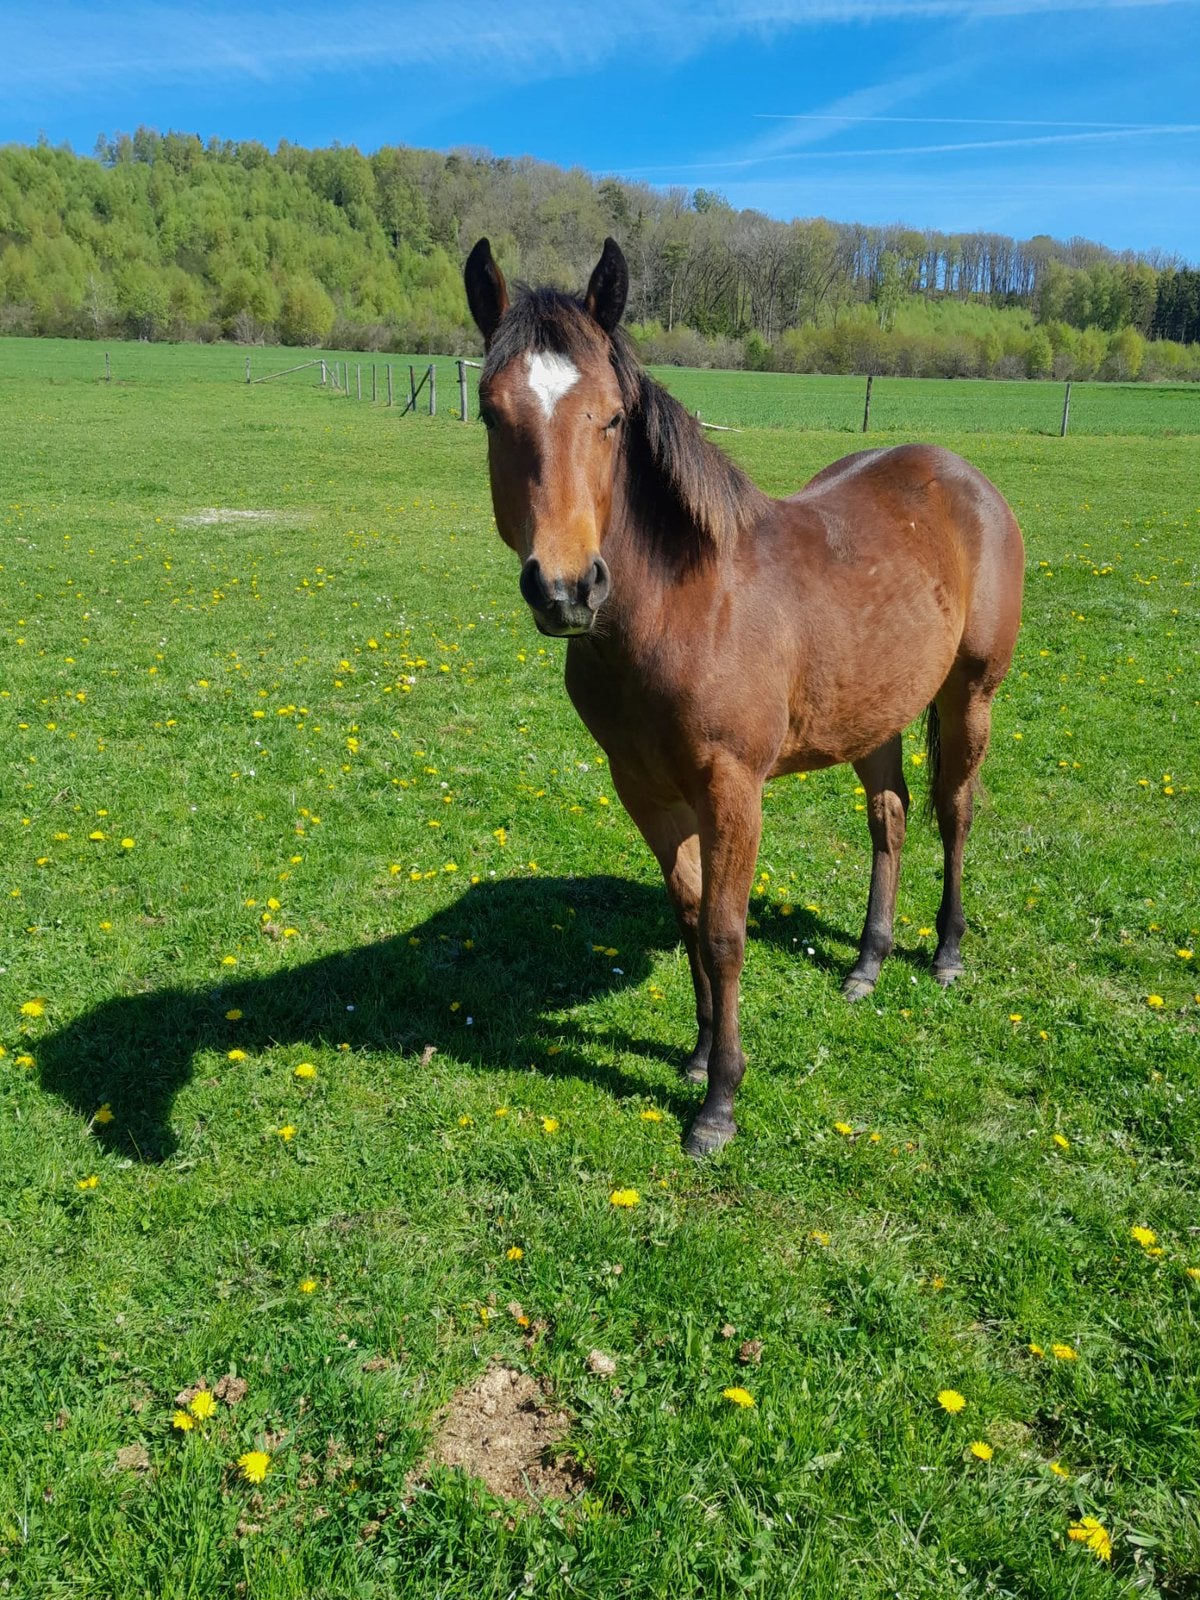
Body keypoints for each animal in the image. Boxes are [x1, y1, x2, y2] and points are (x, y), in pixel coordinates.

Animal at [463, 236, 1024, 1157]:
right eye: (489, 413)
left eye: (611, 417)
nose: (567, 589)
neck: (683, 608)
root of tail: (964, 477)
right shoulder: (646, 790)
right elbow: (688, 913)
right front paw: (694, 1057)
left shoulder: (733, 790)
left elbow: (726, 933)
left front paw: (719, 1101)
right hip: (873, 714)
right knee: (891, 817)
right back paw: (867, 962)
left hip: (968, 694)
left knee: (955, 810)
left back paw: (945, 952)